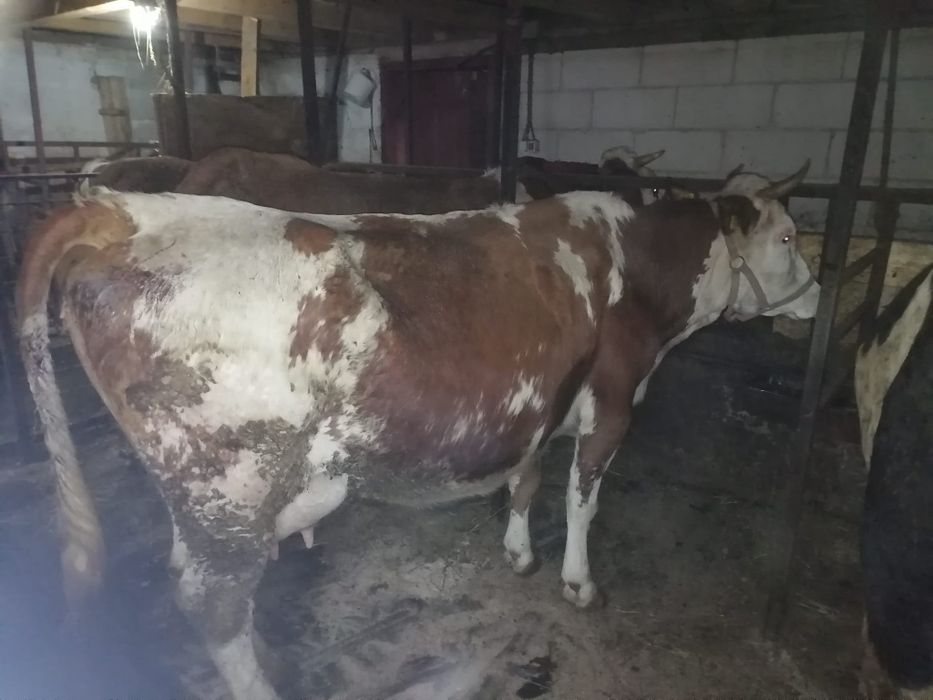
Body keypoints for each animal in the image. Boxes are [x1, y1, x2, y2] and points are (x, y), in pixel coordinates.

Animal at [17, 161, 817, 700]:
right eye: (787, 236)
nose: (815, 297)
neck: (636, 269)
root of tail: (118, 211)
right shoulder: (614, 402)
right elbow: (581, 500)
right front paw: (578, 583)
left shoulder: (536, 402)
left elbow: (527, 480)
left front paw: (518, 554)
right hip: (229, 483)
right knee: (211, 604)